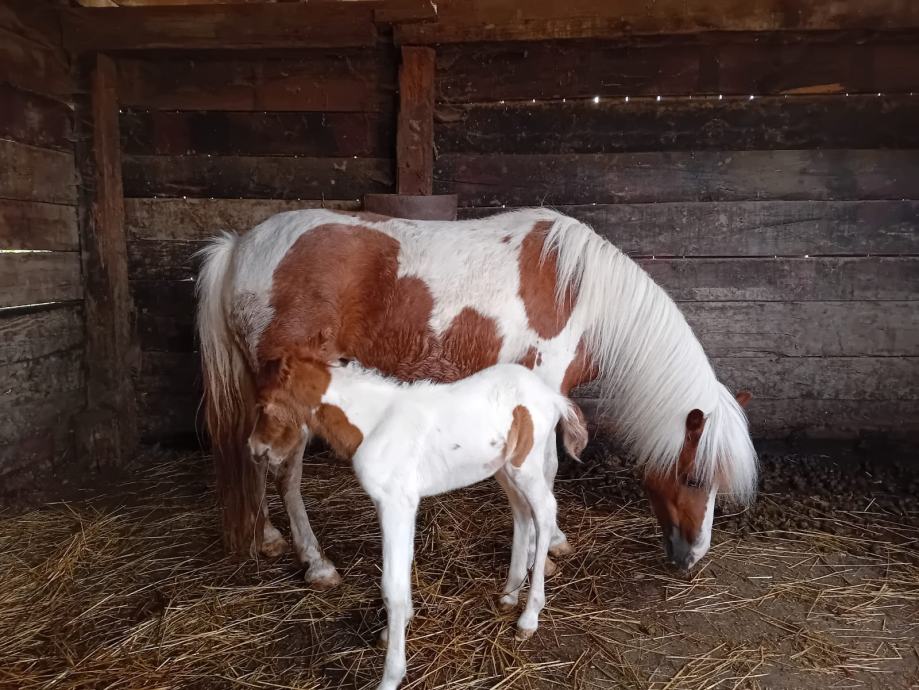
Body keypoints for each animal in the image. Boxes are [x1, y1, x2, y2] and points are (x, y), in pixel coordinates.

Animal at [248, 354, 584, 688]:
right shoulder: (402, 507)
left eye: (264, 403)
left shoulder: (396, 505)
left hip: (526, 465)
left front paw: (391, 676)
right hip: (504, 469)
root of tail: (551, 395)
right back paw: (510, 594)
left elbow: (392, 588)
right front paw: (394, 630)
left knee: (544, 512)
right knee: (521, 512)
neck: (373, 425)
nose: (255, 449)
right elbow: (404, 571)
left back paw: (529, 617)